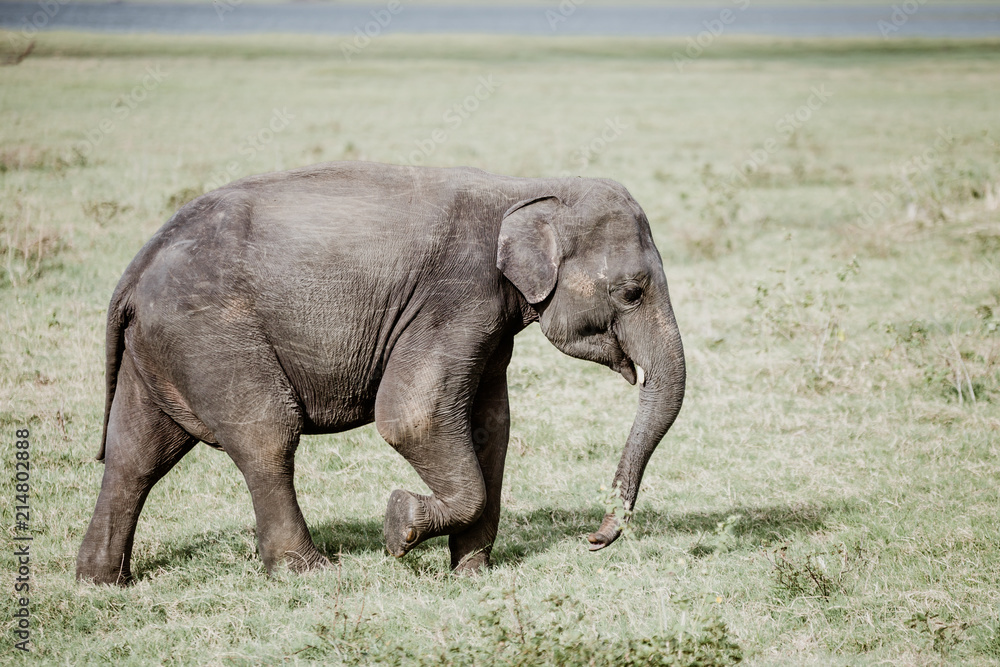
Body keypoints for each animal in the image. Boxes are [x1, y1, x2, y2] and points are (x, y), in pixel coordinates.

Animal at [76, 161, 685, 585]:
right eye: (631, 293)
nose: (594, 539)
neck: (524, 186)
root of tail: (137, 266)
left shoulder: (487, 322)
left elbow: (490, 425)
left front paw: (469, 573)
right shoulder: (456, 298)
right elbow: (413, 418)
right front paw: (399, 527)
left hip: (162, 348)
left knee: (136, 454)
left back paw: (102, 582)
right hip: (212, 334)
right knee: (266, 435)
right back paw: (309, 572)